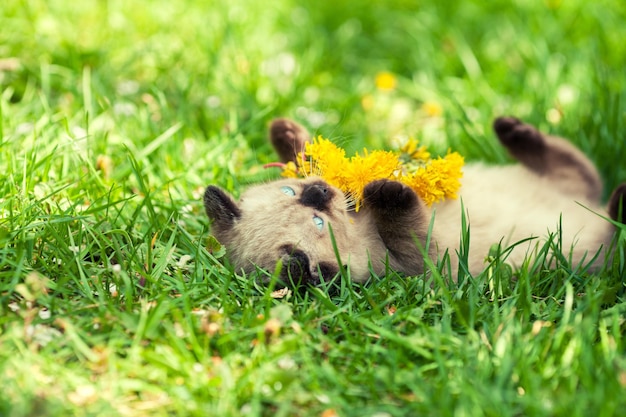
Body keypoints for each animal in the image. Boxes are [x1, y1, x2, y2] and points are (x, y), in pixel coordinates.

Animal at [202, 117, 620, 286]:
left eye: (290, 193)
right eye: (318, 223)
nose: (318, 193)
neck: (357, 221)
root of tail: (598, 210)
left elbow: (307, 154)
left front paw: (287, 133)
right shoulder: (424, 263)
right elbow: (408, 227)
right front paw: (385, 191)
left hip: (565, 184)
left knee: (579, 168)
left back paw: (511, 128)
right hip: (593, 243)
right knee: (610, 215)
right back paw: (623, 200)